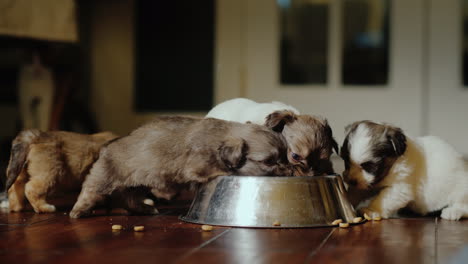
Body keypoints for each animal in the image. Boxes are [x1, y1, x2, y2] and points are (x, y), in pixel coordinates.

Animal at [68, 116, 296, 219]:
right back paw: (78, 210)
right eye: (269, 162)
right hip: (104, 179)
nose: (287, 169)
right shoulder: (198, 166)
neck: (220, 139)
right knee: (89, 191)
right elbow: (220, 169)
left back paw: (146, 208)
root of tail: (107, 146)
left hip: (137, 185)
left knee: (130, 201)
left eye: (284, 157)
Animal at [340, 120, 468, 220]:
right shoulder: (364, 183)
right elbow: (356, 192)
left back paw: (453, 212)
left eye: (370, 166)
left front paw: (371, 210)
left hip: (461, 190)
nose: (351, 181)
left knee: (463, 205)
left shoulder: (400, 189)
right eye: (346, 162)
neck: (390, 168)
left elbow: (383, 199)